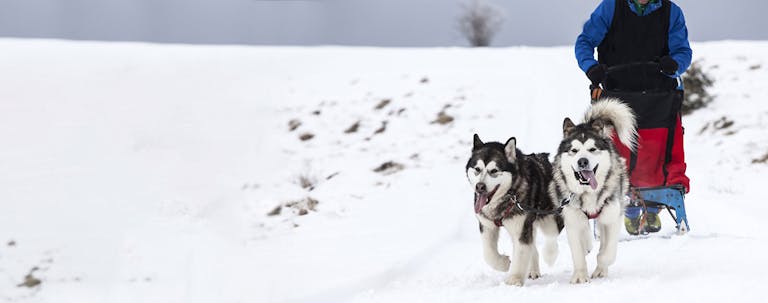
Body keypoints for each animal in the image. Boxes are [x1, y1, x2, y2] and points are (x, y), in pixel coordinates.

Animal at [464, 135, 560, 288]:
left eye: (494, 171)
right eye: (477, 169)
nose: (480, 186)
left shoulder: (521, 228)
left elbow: (520, 253)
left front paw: (514, 280)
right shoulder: (487, 225)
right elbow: (488, 253)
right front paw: (503, 263)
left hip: (548, 216)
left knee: (551, 235)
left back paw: (551, 254)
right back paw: (533, 270)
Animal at [552, 99, 636, 284]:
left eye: (592, 149)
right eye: (574, 150)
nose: (582, 161)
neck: (588, 193)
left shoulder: (612, 218)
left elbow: (607, 252)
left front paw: (600, 267)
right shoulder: (572, 219)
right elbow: (577, 253)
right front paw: (580, 276)